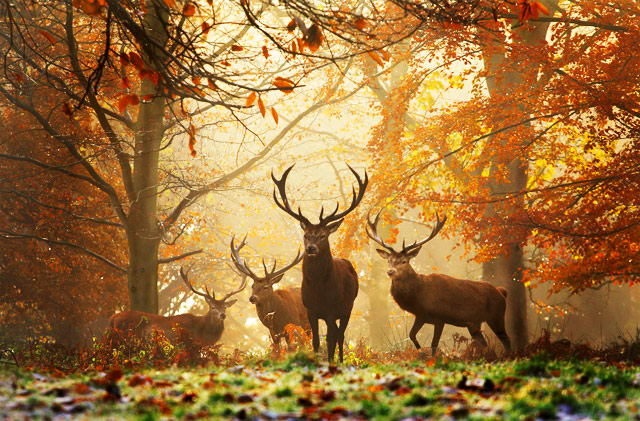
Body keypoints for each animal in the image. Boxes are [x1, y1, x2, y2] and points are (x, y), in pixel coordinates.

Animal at [271, 163, 368, 363]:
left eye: (323, 235)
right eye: (306, 235)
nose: (311, 248)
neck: (319, 290)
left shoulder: (332, 309)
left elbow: (330, 340)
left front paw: (330, 362)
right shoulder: (311, 310)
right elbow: (316, 340)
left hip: (348, 307)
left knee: (340, 336)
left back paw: (340, 361)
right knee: (338, 334)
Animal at [366, 210, 511, 355]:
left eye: (404, 261)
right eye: (389, 260)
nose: (390, 271)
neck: (419, 296)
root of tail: (501, 292)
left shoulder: (440, 318)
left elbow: (434, 344)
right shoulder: (421, 316)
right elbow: (412, 335)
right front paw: (420, 350)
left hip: (496, 315)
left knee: (506, 340)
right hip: (474, 322)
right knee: (483, 342)